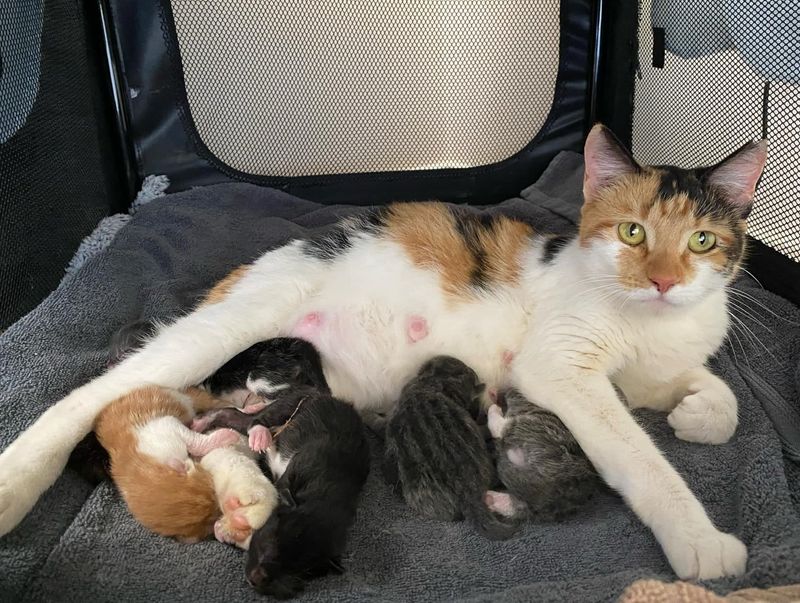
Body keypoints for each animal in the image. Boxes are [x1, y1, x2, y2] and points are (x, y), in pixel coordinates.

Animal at [94, 386, 278, 548]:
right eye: (217, 505)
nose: (218, 526)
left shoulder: (167, 426)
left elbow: (193, 441)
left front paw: (226, 435)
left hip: (190, 398)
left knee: (225, 407)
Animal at [194, 340, 372, 600]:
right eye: (271, 547)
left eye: (300, 572)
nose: (258, 581)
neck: (327, 495)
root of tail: (322, 390)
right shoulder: (291, 476)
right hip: (291, 400)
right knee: (252, 419)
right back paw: (255, 433)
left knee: (237, 415)